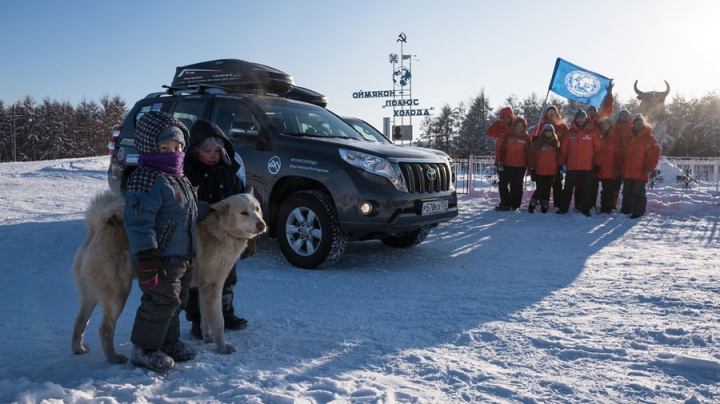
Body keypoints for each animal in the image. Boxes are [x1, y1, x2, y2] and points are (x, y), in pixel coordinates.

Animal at [71, 189, 264, 362]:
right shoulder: (213, 288)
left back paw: (78, 348)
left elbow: (205, 320)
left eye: (257, 209)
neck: (222, 230)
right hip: (117, 296)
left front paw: (207, 340)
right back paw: (114, 358)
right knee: (105, 329)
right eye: (244, 212)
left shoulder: (204, 290)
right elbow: (218, 323)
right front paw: (222, 348)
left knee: (80, 321)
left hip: (91, 295)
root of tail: (97, 228)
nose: (262, 225)